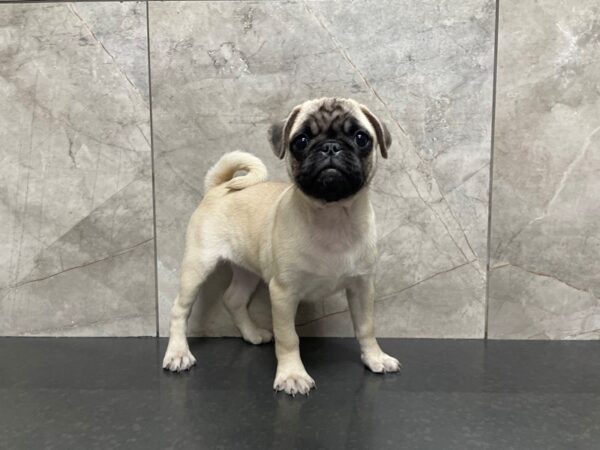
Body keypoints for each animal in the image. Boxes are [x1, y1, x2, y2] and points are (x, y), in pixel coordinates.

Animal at [162, 97, 400, 394]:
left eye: (361, 138)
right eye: (301, 140)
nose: (330, 146)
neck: (331, 216)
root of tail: (219, 187)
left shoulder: (362, 286)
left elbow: (366, 326)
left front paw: (375, 358)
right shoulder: (283, 293)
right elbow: (289, 337)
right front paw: (292, 375)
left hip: (246, 270)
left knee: (233, 299)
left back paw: (252, 333)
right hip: (198, 265)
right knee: (179, 309)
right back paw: (178, 354)